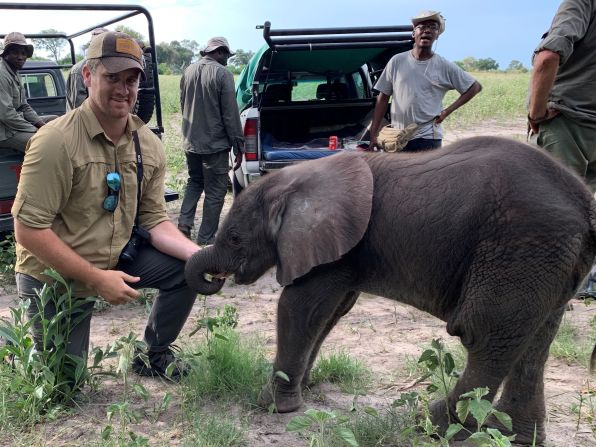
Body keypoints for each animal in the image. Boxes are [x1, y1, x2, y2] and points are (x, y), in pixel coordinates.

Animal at [185, 136, 596, 444]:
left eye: (235, 238)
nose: (217, 277)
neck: (295, 181)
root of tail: (586, 207)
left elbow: (300, 307)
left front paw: (272, 405)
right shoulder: (346, 252)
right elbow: (332, 311)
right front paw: (305, 386)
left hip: (520, 248)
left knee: (486, 336)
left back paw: (429, 425)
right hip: (547, 261)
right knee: (536, 342)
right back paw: (514, 436)